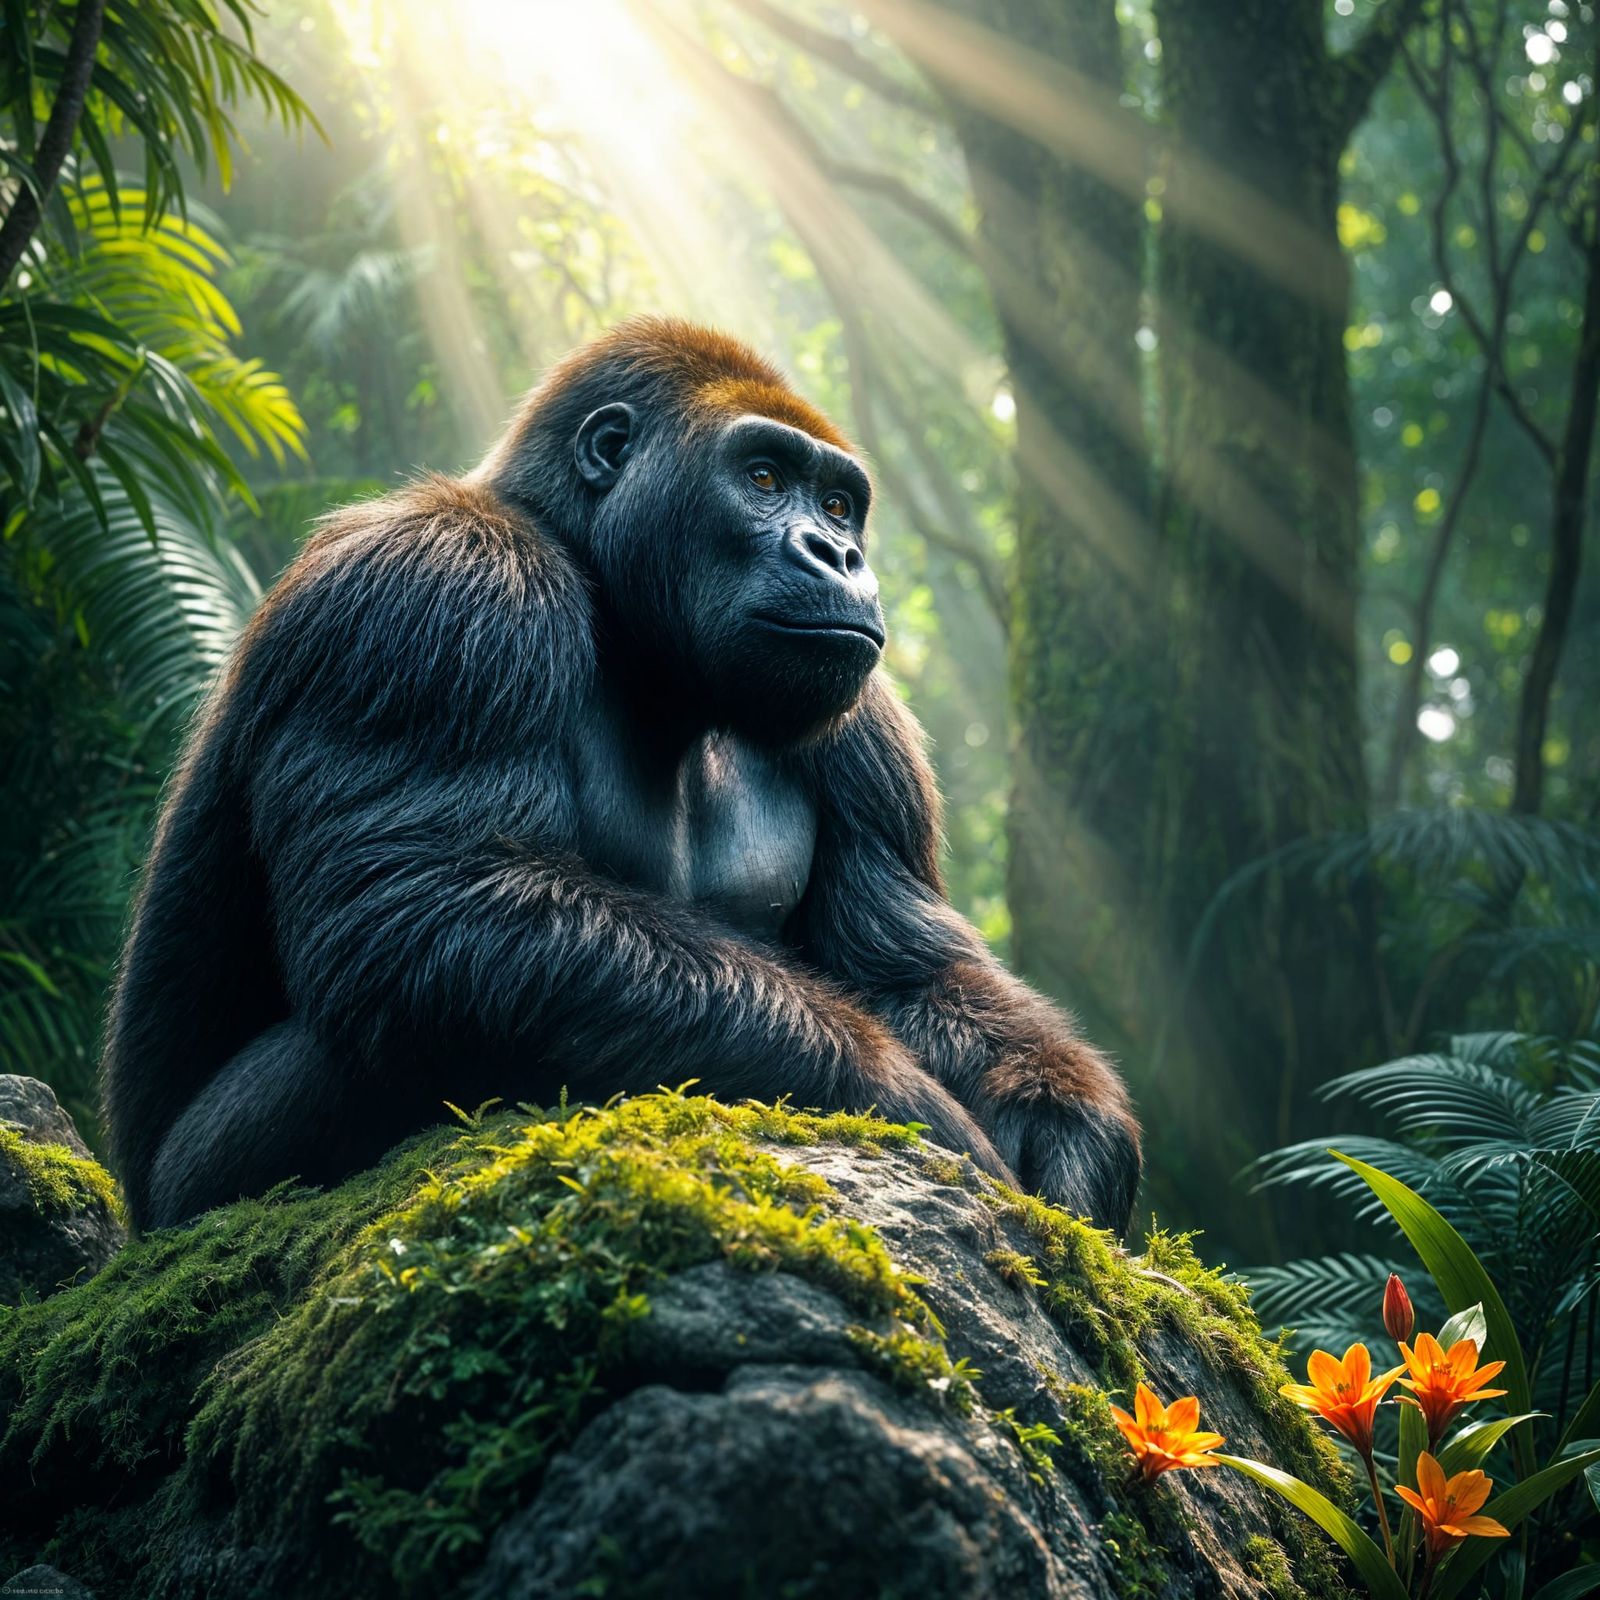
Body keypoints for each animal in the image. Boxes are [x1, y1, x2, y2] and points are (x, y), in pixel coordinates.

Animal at [101, 317, 1140, 1233]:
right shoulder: (432, 587)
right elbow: (426, 904)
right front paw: (902, 1103)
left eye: (839, 504)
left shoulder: (866, 725)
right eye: (764, 478)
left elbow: (910, 969)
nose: (840, 555)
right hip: (190, 1189)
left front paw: (1068, 1129)